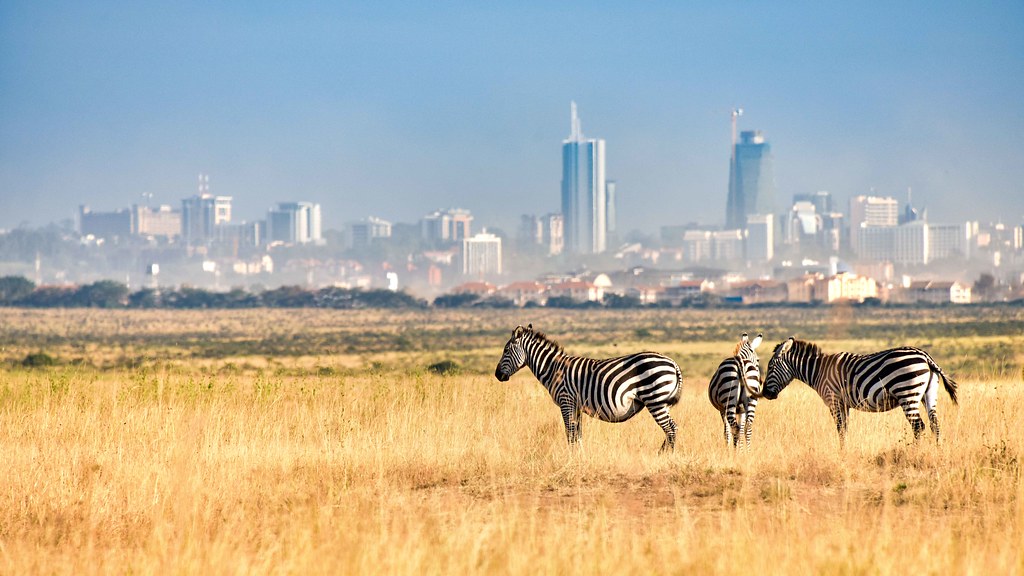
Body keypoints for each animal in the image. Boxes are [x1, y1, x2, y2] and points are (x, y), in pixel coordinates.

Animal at [494, 324, 683, 452]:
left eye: (506, 350)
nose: (497, 375)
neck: (553, 368)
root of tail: (673, 363)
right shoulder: (576, 405)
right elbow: (577, 434)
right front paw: (580, 456)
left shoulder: (566, 401)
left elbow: (569, 432)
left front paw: (571, 458)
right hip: (661, 402)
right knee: (671, 428)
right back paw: (662, 454)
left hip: (654, 399)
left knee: (671, 429)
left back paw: (665, 456)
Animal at [761, 337, 959, 444]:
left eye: (770, 367)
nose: (765, 394)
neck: (819, 370)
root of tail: (926, 357)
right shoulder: (843, 403)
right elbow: (845, 428)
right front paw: (845, 451)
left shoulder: (833, 400)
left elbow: (840, 428)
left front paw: (841, 454)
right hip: (928, 394)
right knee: (935, 424)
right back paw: (937, 452)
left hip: (907, 392)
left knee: (918, 426)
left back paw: (915, 454)